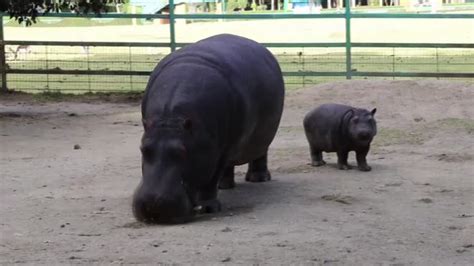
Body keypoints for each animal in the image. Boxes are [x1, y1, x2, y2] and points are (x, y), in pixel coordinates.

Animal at [131, 34, 284, 223]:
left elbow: (211, 179)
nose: (152, 206)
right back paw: (224, 186)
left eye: (182, 152)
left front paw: (208, 208)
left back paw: (258, 179)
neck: (172, 118)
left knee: (260, 153)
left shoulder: (220, 152)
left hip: (261, 136)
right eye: (143, 149)